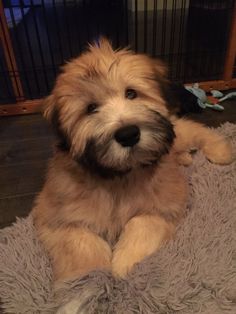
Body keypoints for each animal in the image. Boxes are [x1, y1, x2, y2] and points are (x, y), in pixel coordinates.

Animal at [32, 39, 233, 288]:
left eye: (131, 93)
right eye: (90, 108)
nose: (128, 134)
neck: (121, 175)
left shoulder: (164, 205)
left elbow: (141, 224)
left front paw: (124, 267)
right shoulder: (54, 214)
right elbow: (82, 244)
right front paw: (88, 283)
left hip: (178, 134)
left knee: (195, 129)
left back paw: (221, 151)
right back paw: (185, 158)